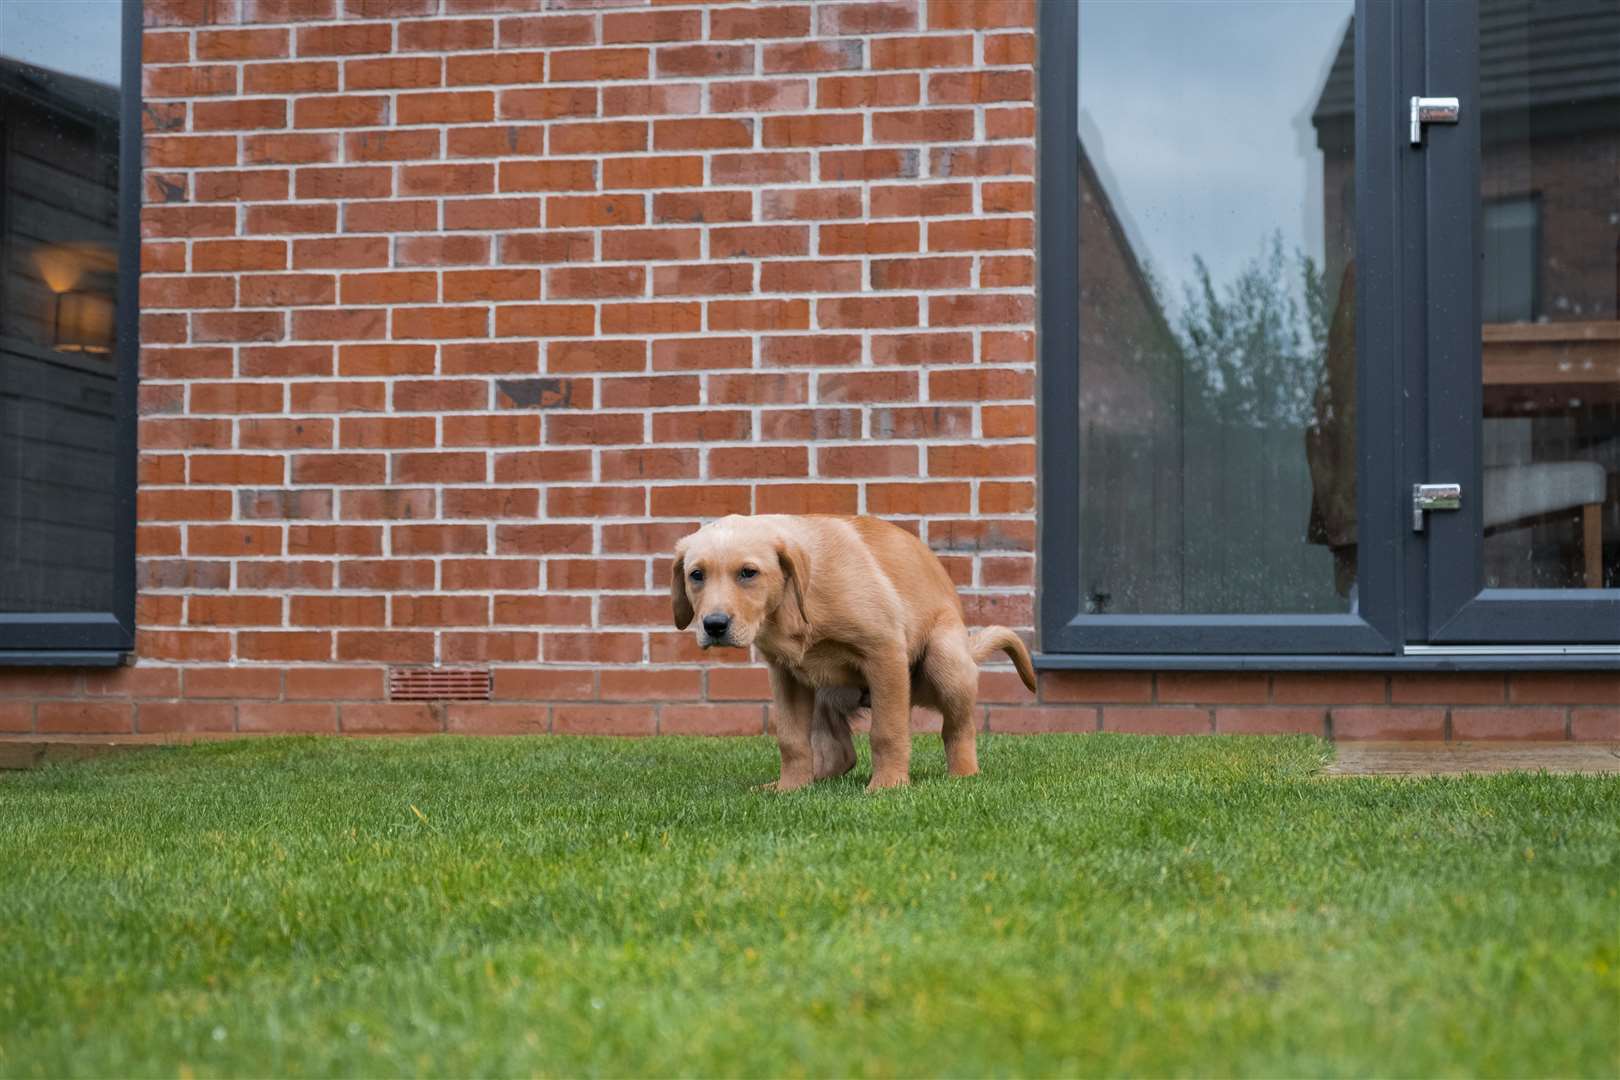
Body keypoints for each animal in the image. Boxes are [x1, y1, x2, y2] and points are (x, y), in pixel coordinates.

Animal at [670, 514, 1036, 793]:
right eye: (696, 575)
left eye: (748, 572)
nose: (714, 625)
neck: (798, 600)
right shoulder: (785, 674)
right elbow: (791, 740)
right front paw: (790, 787)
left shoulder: (884, 654)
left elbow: (886, 732)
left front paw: (888, 786)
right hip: (821, 690)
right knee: (839, 754)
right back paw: (811, 782)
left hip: (944, 658)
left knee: (958, 728)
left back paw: (962, 775)